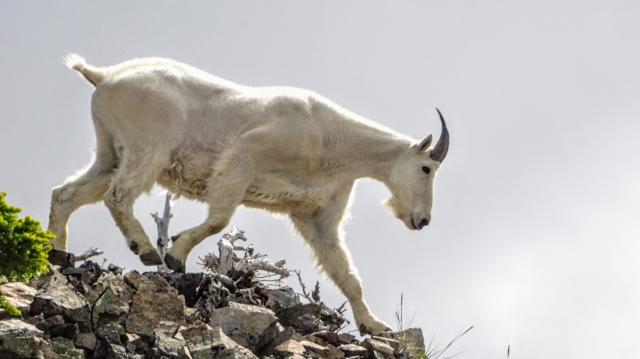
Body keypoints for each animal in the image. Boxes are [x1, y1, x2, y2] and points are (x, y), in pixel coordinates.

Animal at [48, 54, 450, 336]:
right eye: (426, 168)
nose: (423, 220)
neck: (334, 142)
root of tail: (103, 76)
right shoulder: (243, 158)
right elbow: (219, 219)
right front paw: (176, 254)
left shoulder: (316, 216)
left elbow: (345, 272)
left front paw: (374, 325)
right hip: (148, 147)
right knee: (118, 194)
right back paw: (145, 248)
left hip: (110, 150)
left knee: (67, 193)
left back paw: (57, 252)